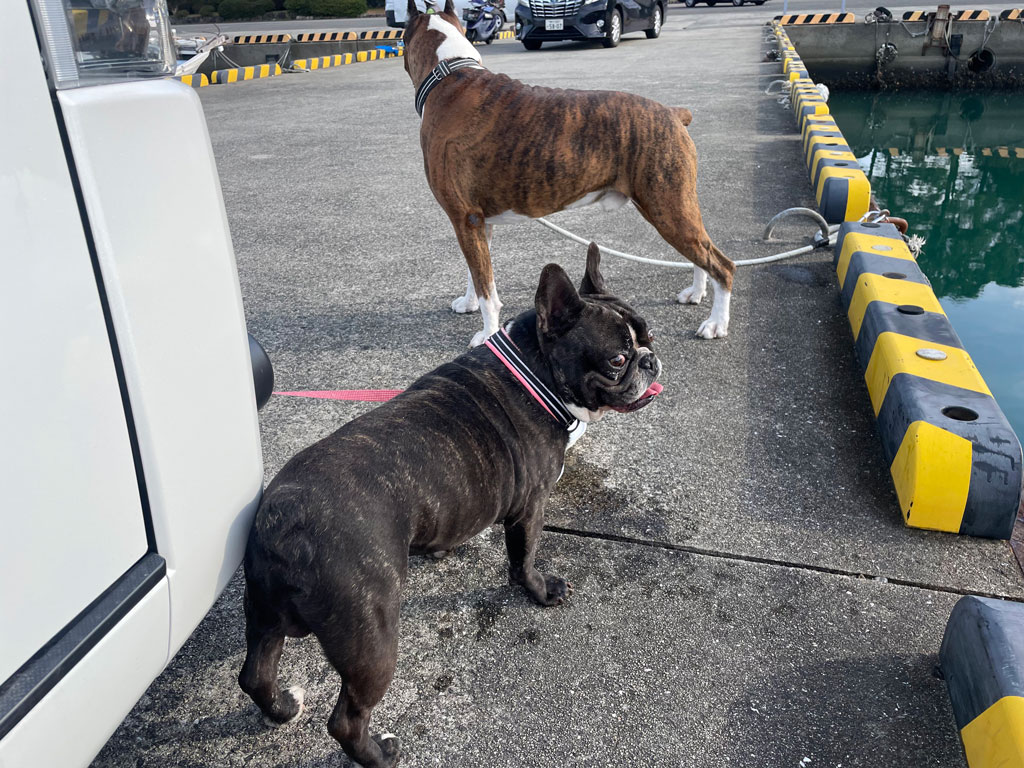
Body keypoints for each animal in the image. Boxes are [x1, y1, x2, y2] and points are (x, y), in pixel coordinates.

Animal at [401, 0, 737, 346]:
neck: (449, 71)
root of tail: (672, 113)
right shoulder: (476, 221)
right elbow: (476, 274)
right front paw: (468, 303)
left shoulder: (465, 218)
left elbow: (487, 291)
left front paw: (489, 334)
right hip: (674, 209)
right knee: (702, 254)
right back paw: (696, 292)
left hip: (668, 209)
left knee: (722, 265)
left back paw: (716, 323)